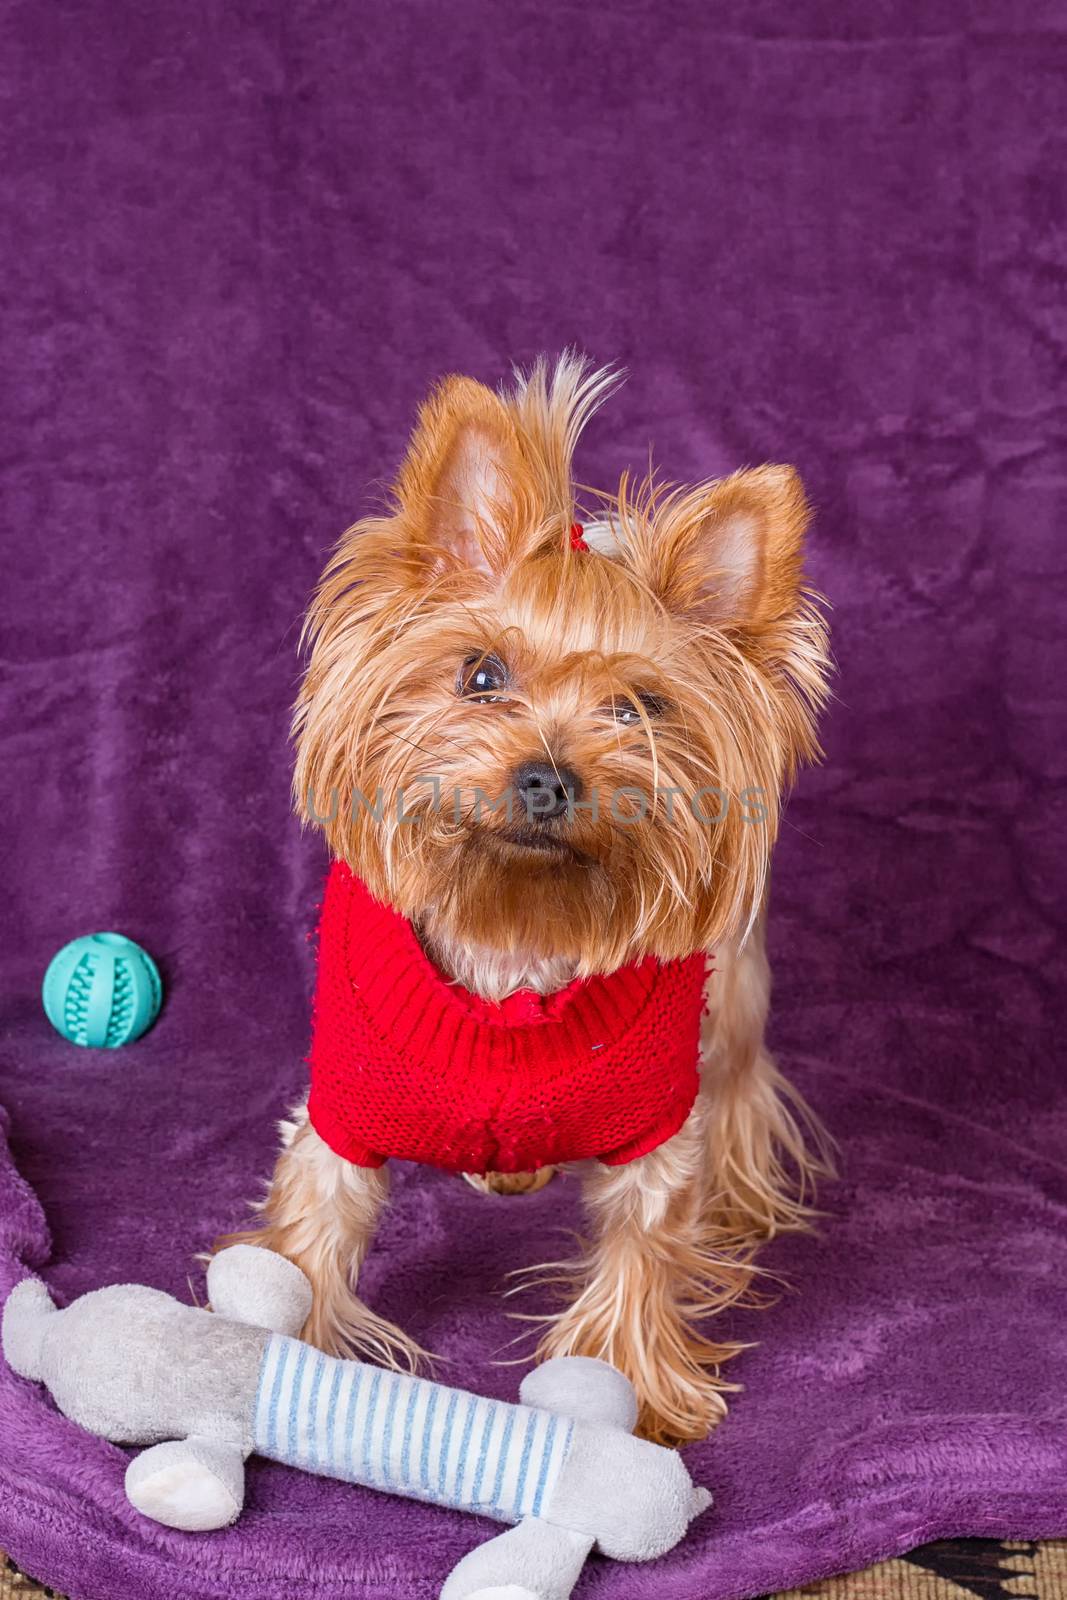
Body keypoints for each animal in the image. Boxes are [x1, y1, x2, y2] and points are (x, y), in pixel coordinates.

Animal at [230, 356, 831, 1446]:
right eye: (480, 673)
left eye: (638, 707)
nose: (548, 778)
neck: (515, 920)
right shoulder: (338, 1113)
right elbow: (310, 1228)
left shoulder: (654, 1129)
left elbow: (644, 1242)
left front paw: (627, 1393)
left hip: (733, 1000)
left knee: (734, 1088)